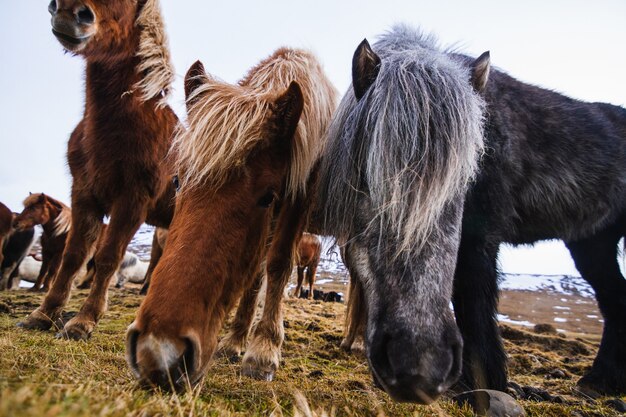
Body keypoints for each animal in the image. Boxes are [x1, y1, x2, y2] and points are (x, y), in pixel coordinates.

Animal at [17, 0, 177, 340]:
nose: (69, 12)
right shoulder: (84, 195)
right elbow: (73, 257)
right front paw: (44, 314)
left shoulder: (132, 201)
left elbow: (106, 257)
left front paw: (83, 321)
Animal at [123, 49, 334, 390]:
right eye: (178, 181)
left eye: (268, 196)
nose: (157, 352)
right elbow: (255, 277)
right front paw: (236, 341)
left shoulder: (297, 202)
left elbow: (278, 265)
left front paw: (263, 351)